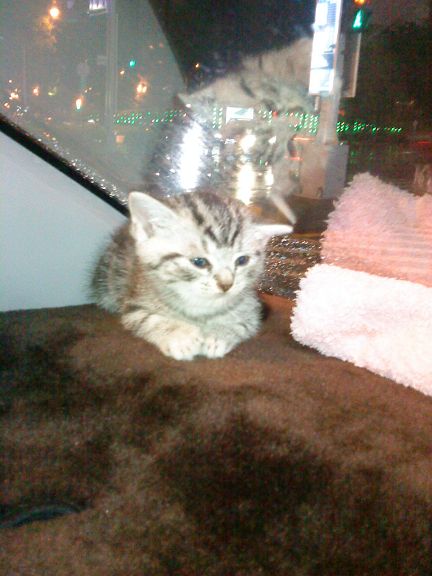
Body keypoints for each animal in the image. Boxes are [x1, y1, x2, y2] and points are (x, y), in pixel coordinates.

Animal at [91, 190, 292, 360]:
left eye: (242, 260)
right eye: (199, 262)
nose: (226, 284)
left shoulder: (251, 309)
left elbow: (242, 323)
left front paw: (218, 332)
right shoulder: (134, 305)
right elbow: (149, 319)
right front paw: (180, 337)